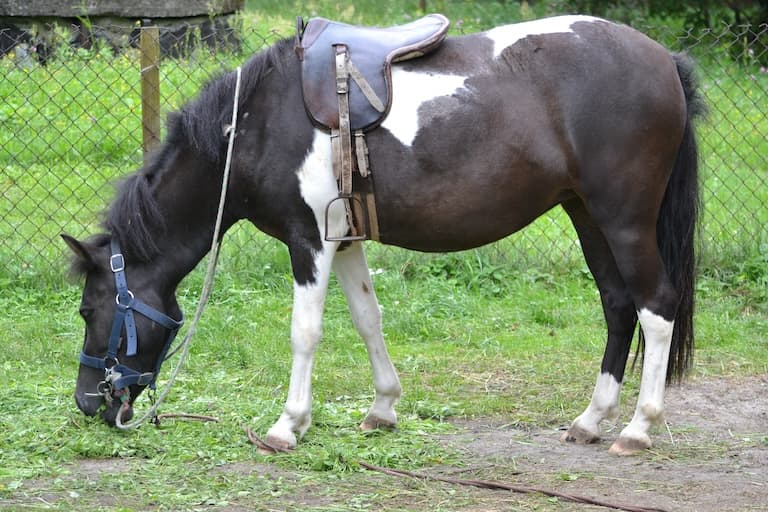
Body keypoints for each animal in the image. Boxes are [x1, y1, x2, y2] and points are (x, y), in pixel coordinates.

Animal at [63, 14, 704, 456]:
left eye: (90, 309)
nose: (89, 402)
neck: (254, 123)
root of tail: (666, 61)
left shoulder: (308, 242)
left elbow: (305, 333)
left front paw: (287, 426)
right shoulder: (343, 241)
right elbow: (368, 319)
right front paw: (383, 408)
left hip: (623, 220)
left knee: (656, 308)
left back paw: (637, 429)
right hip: (587, 215)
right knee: (619, 306)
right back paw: (591, 420)